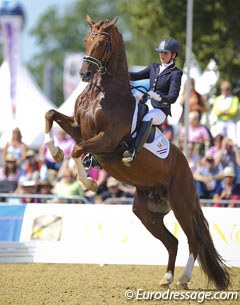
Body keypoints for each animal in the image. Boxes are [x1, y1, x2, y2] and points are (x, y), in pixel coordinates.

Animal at [44, 15, 230, 288]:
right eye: (87, 39)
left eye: (103, 43)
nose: (84, 73)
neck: (101, 93)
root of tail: (187, 167)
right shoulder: (80, 128)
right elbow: (50, 115)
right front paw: (56, 152)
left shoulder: (106, 139)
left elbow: (77, 150)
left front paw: (88, 182)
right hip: (146, 212)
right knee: (172, 242)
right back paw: (166, 278)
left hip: (181, 205)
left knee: (192, 240)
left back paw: (183, 278)